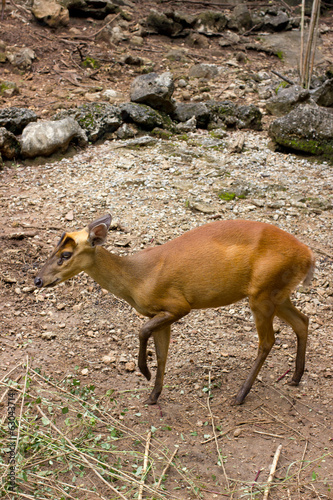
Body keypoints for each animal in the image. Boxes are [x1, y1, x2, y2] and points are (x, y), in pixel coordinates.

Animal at [34, 215, 314, 406]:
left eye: (66, 255)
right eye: (53, 249)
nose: (37, 280)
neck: (136, 278)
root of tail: (309, 256)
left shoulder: (178, 305)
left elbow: (142, 332)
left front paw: (144, 373)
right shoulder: (160, 314)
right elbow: (162, 354)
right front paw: (153, 396)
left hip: (262, 294)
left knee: (268, 340)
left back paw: (240, 395)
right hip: (277, 294)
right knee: (303, 320)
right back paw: (295, 377)